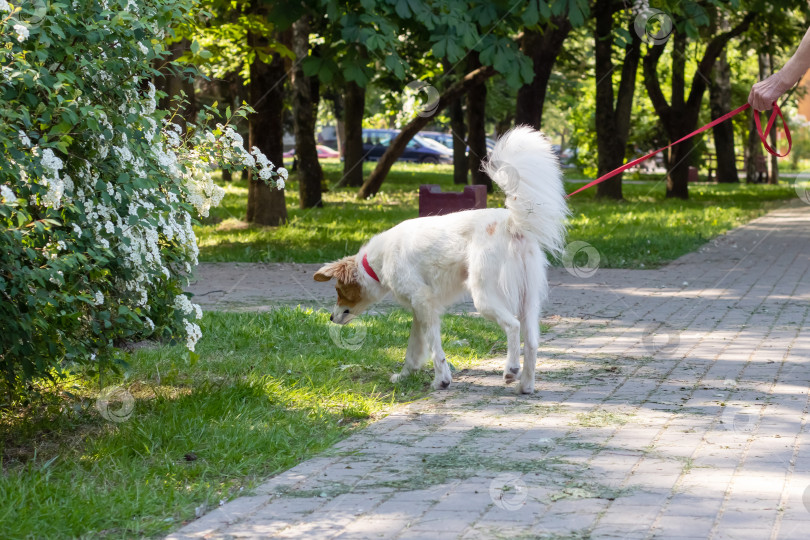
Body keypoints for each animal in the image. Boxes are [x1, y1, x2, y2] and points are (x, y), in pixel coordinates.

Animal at [312, 129, 564, 394]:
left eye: (339, 291)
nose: (330, 318)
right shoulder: (420, 310)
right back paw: (526, 385)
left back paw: (511, 369)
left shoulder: (423, 302)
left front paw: (442, 379)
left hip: (484, 296)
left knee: (513, 326)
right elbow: (414, 349)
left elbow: (435, 347)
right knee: (533, 341)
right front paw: (405, 375)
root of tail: (511, 223)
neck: (378, 263)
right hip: (529, 300)